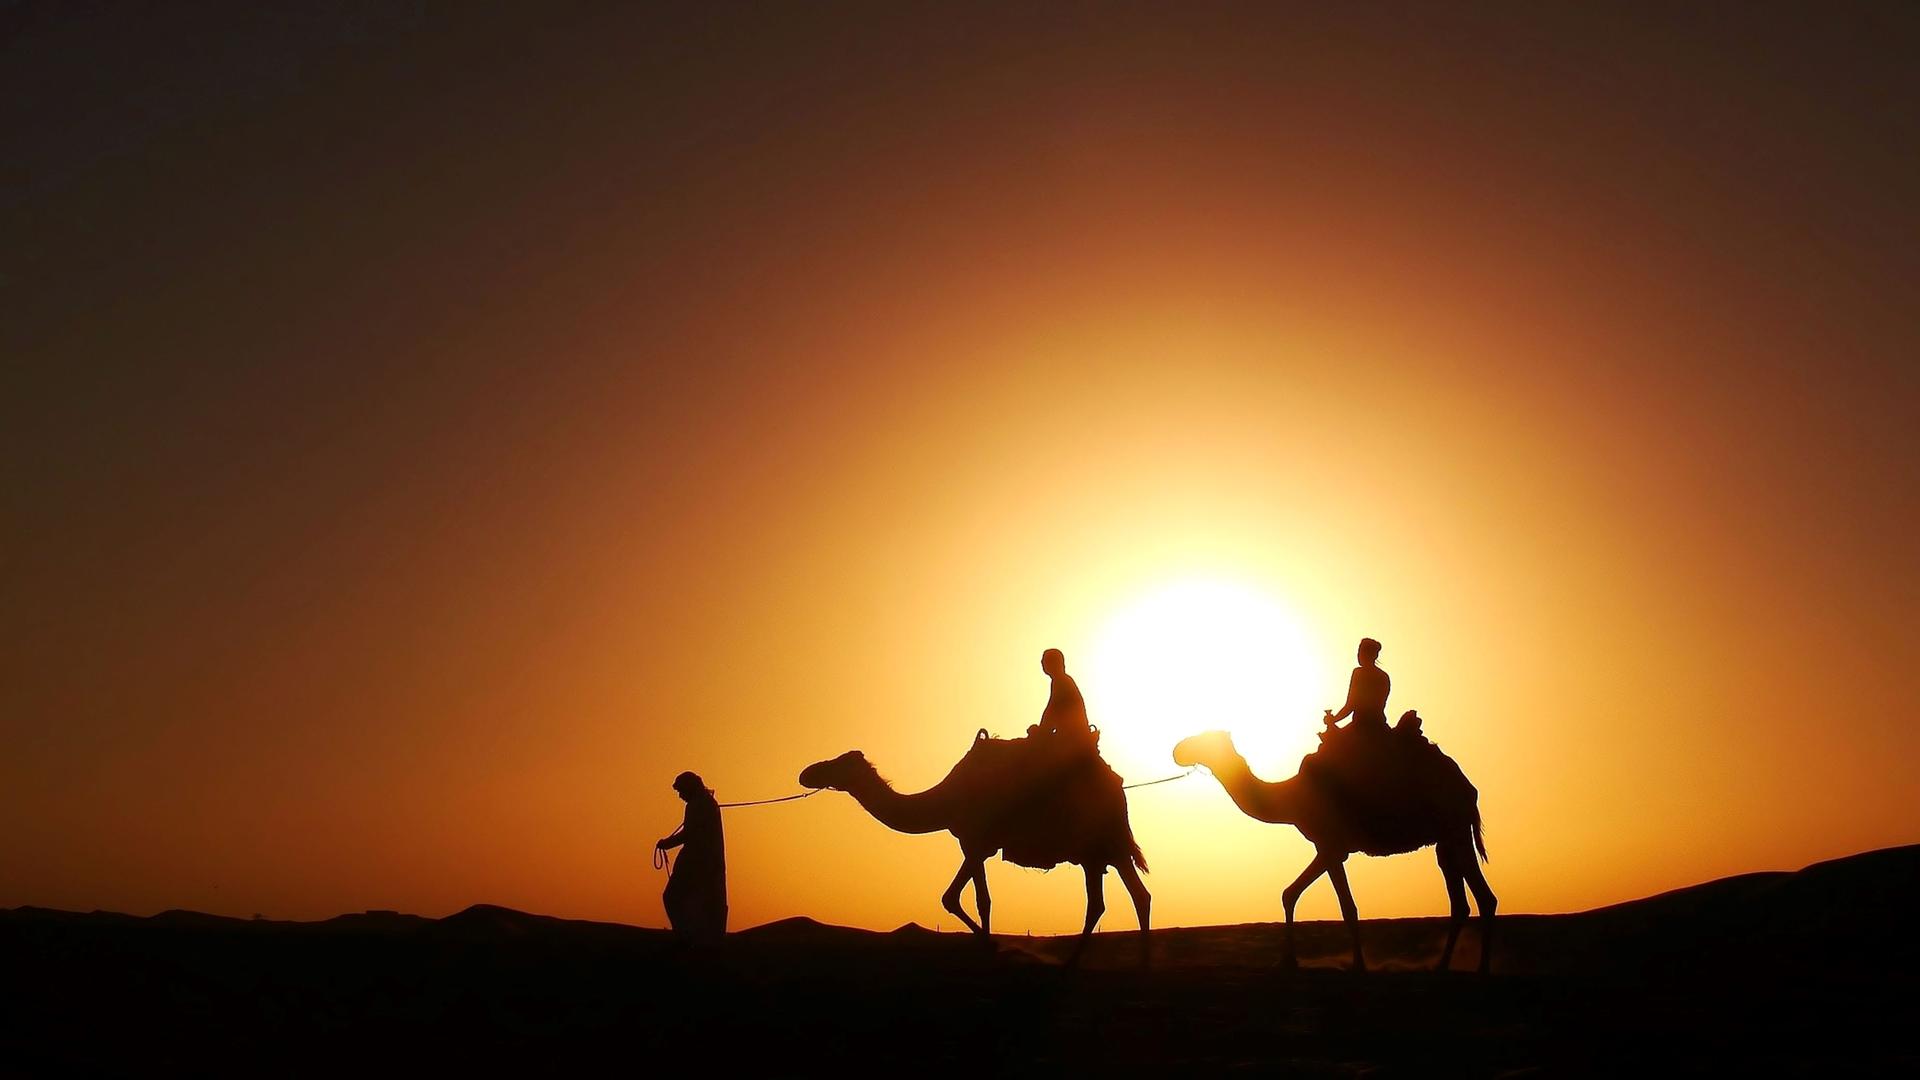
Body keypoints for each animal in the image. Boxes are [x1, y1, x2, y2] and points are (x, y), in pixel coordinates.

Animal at [798, 726, 1144, 960]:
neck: (948, 798)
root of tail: (1117, 787)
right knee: (1122, 899)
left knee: (1121, 898)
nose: (806, 773)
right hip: (1098, 852)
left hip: (1103, 844)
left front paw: (992, 949)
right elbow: (950, 897)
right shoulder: (974, 844)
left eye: (839, 763)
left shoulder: (975, 842)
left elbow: (982, 901)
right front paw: (993, 945)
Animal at [1167, 726, 1497, 972]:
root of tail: (1468, 789)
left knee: (1482, 898)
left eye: (1205, 740)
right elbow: (1290, 893)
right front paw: (1287, 961)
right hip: (1447, 838)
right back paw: (1444, 966)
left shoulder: (1331, 846)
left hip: (1453, 828)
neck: (1292, 796)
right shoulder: (1327, 847)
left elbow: (1347, 908)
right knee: (1464, 901)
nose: (1177, 750)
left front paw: (1358, 966)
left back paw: (1479, 968)